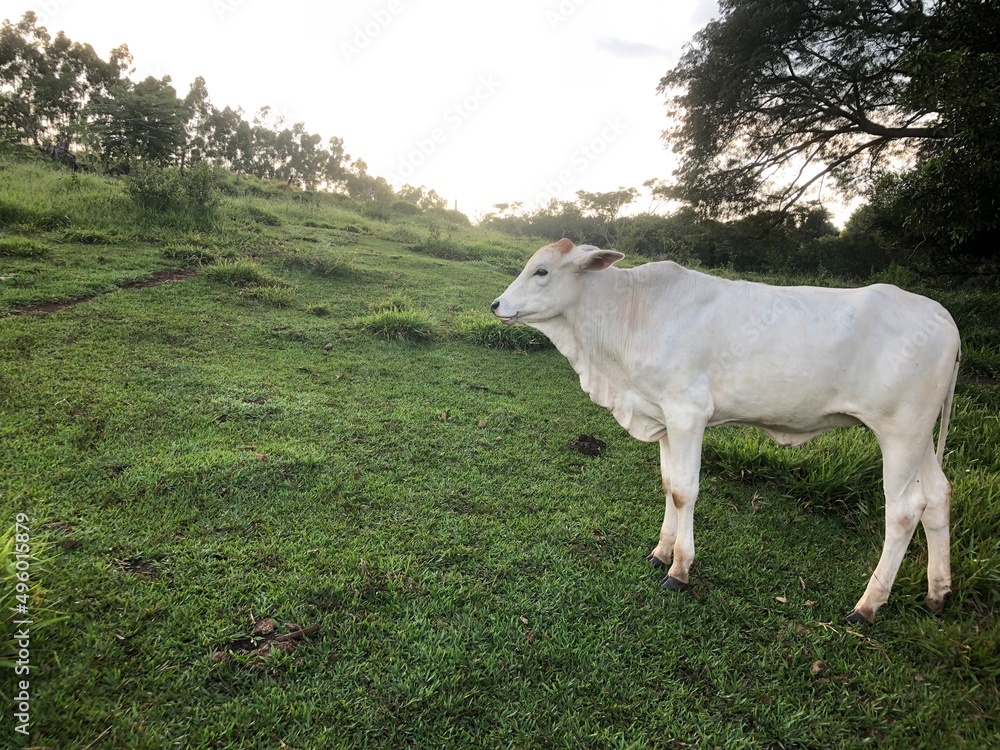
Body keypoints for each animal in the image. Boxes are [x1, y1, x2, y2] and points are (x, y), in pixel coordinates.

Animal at [491, 238, 961, 624]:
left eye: (541, 271)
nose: (497, 305)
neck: (631, 313)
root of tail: (944, 318)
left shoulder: (687, 413)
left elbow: (685, 491)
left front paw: (680, 569)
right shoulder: (663, 416)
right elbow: (668, 484)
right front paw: (661, 552)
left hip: (899, 431)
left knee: (904, 511)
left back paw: (868, 604)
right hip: (919, 438)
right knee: (937, 497)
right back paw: (938, 593)